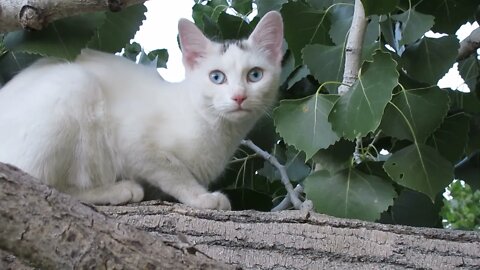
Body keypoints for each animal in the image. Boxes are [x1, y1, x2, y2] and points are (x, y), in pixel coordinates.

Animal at [0, 11, 284, 209]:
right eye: (217, 77)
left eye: (255, 75)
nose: (239, 96)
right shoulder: (133, 142)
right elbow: (173, 171)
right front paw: (201, 197)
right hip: (76, 85)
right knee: (43, 183)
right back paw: (119, 190)